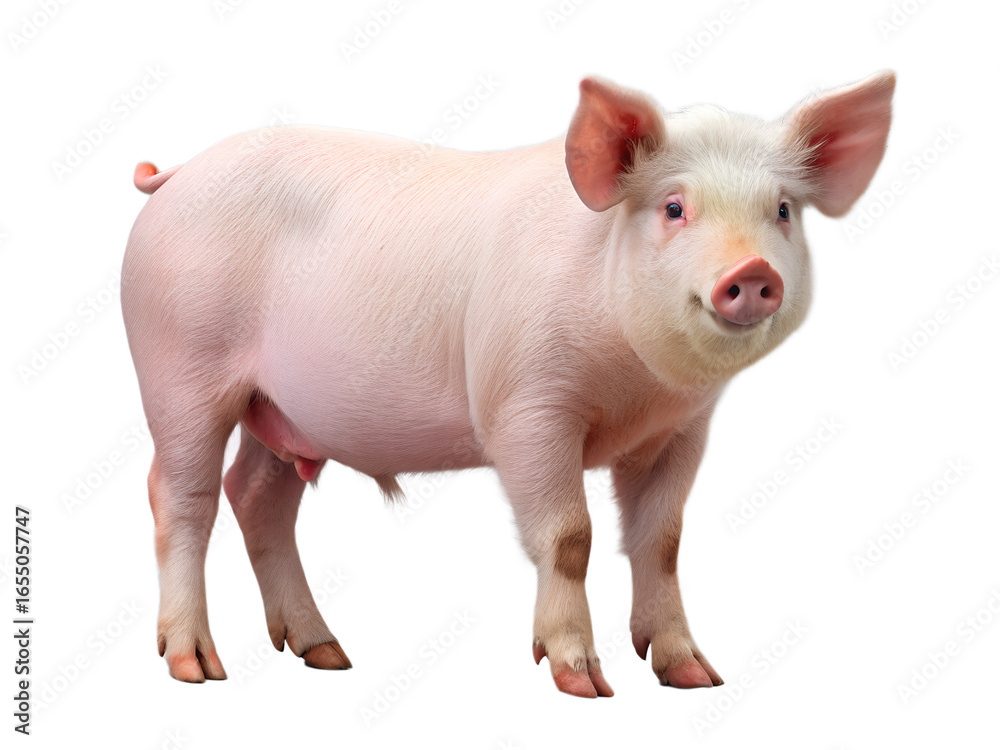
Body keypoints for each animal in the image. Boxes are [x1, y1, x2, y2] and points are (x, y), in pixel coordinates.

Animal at [122, 71, 894, 697]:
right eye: (675, 208)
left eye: (783, 211)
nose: (753, 273)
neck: (635, 386)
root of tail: (176, 175)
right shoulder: (526, 409)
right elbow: (570, 537)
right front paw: (584, 683)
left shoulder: (682, 429)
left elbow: (663, 540)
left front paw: (696, 677)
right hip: (178, 365)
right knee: (180, 496)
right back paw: (197, 667)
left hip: (281, 409)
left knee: (256, 496)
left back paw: (329, 654)